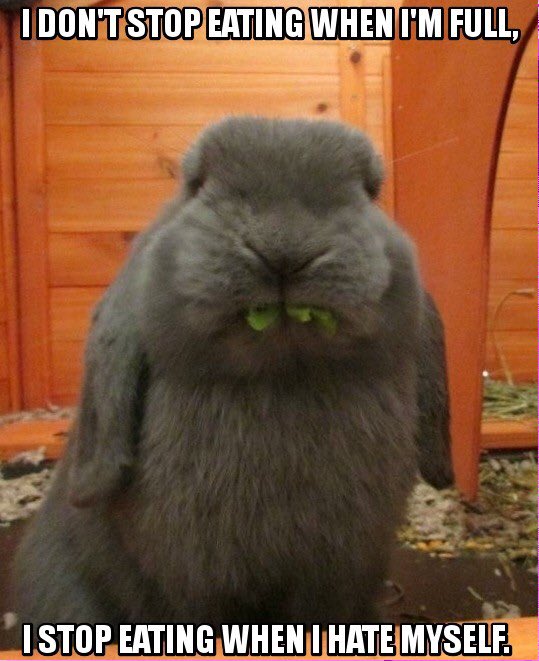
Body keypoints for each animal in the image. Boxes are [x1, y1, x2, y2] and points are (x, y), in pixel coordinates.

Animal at [15, 117, 453, 632]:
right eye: (197, 184)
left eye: (370, 191)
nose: (285, 249)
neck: (281, 377)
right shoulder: (194, 574)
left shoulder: (340, 572)